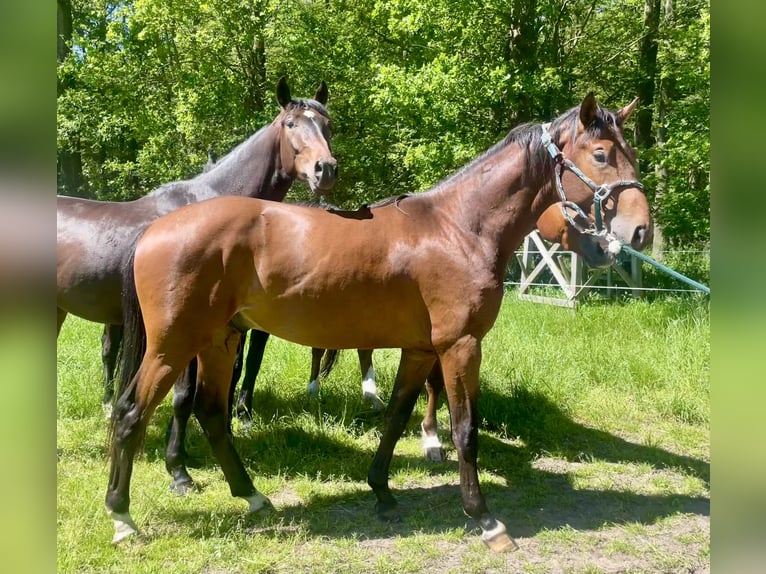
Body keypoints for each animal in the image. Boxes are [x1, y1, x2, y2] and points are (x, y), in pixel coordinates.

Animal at [107, 93, 651, 551]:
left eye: (629, 152)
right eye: (601, 154)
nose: (640, 231)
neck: (457, 228)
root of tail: (156, 228)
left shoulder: (421, 350)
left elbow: (394, 417)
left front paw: (382, 492)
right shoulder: (460, 346)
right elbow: (465, 431)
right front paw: (485, 519)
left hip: (220, 341)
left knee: (211, 414)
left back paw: (254, 497)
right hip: (172, 346)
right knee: (131, 414)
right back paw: (122, 518)